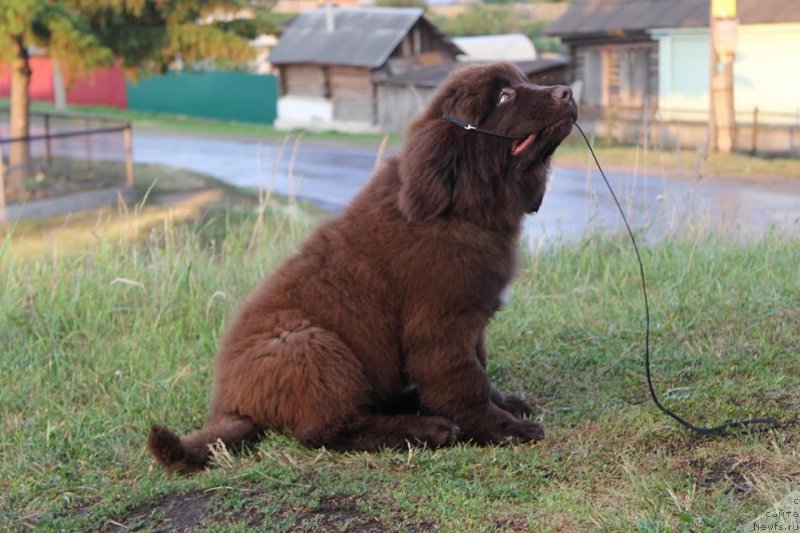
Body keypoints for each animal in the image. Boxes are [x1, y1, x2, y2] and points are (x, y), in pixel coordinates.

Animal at [148, 60, 576, 472]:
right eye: (504, 96)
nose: (568, 92)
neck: (460, 208)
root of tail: (232, 406)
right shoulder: (441, 325)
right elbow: (466, 382)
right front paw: (504, 428)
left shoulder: (472, 322)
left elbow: (480, 369)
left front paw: (504, 404)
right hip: (311, 348)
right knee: (331, 430)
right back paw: (425, 429)